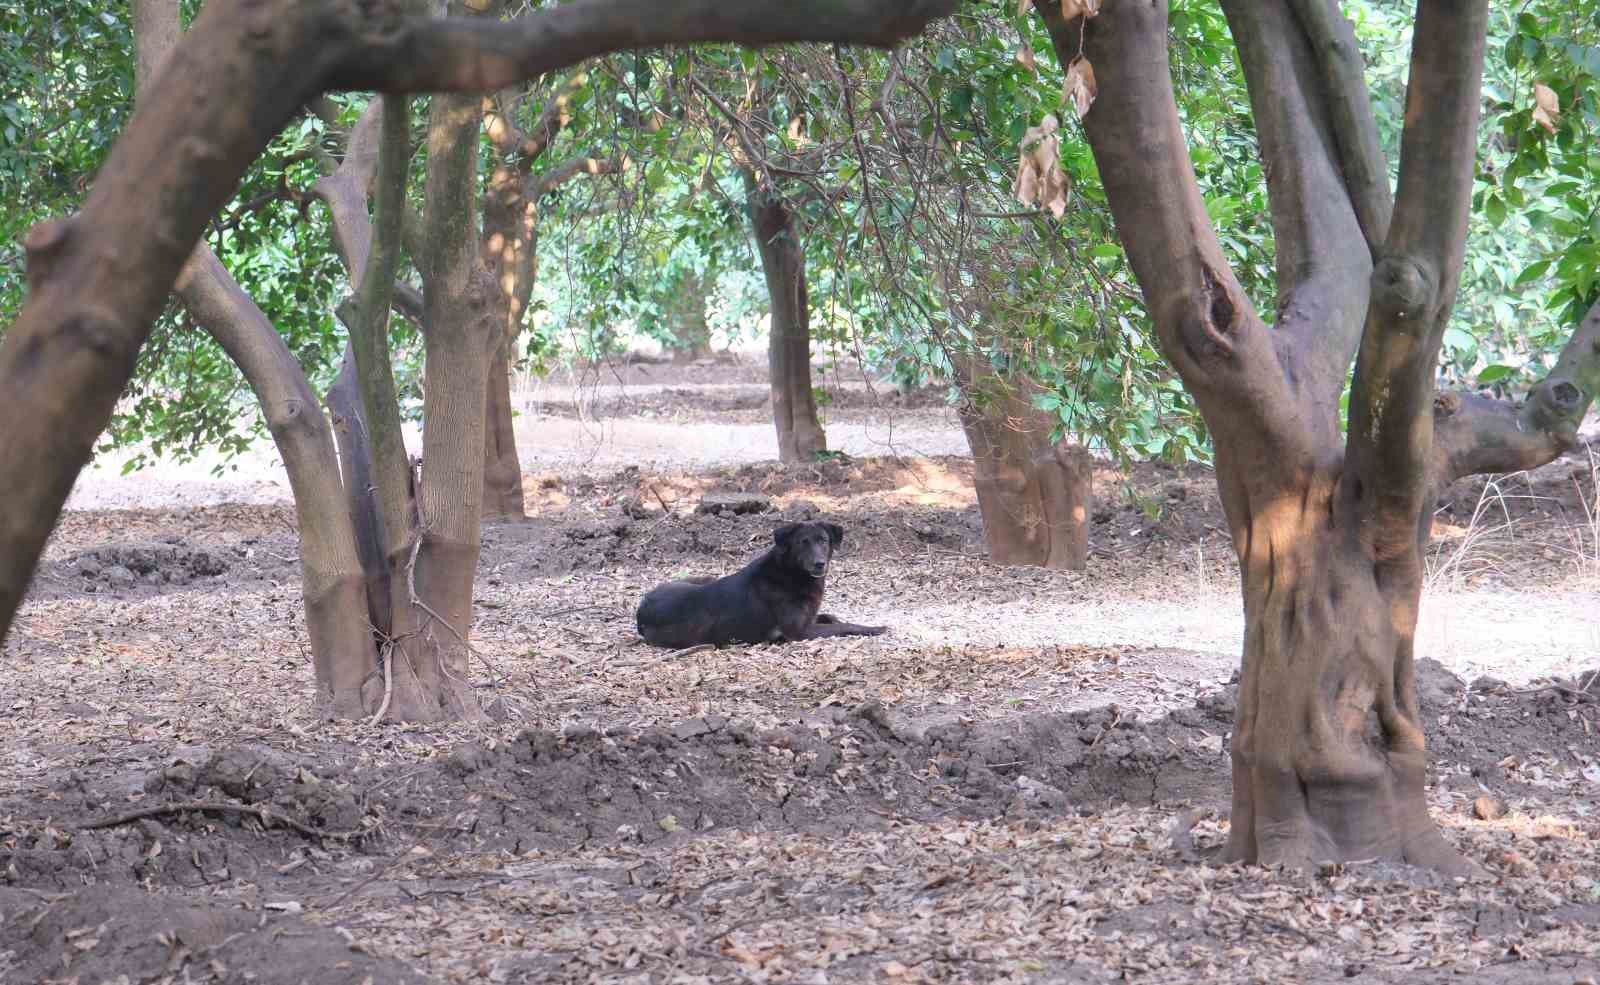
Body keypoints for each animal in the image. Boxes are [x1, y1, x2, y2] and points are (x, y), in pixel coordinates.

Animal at [633, 518, 889, 649]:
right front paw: (875, 628)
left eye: (823, 541)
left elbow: (832, 618)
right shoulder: (800, 632)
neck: (791, 573)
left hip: (701, 578)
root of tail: (641, 610)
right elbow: (845, 626)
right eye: (803, 542)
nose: (819, 564)